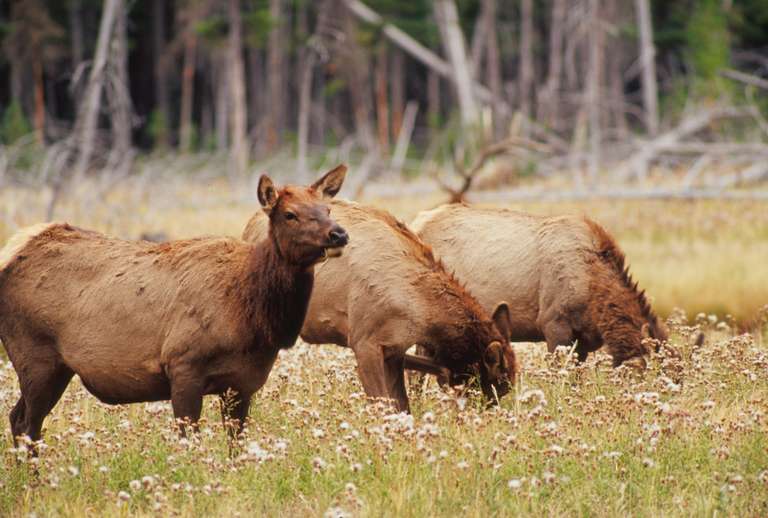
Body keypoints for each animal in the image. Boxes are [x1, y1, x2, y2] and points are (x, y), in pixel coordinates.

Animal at [0, 167, 348, 446]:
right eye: (289, 214)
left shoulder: (241, 384)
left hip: (58, 367)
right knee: (26, 423)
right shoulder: (183, 366)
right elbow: (188, 444)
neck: (255, 317)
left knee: (19, 419)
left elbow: (236, 447)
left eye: (328, 208)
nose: (339, 233)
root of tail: (13, 253)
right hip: (36, 356)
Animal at [243, 200, 520, 414]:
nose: (487, 419)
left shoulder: (394, 349)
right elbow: (381, 406)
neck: (421, 312)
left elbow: (402, 406)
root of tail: (248, 227)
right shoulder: (364, 343)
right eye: (493, 384)